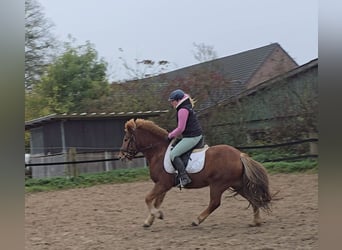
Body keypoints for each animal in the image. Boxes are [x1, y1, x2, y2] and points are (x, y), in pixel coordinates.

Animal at [120, 118, 272, 228]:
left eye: (126, 139)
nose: (121, 156)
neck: (158, 151)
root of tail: (239, 155)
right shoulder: (162, 185)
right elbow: (156, 202)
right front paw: (150, 220)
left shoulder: (163, 184)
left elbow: (147, 198)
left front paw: (158, 215)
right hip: (237, 184)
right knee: (251, 197)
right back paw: (256, 221)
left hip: (218, 184)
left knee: (215, 203)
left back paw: (197, 220)